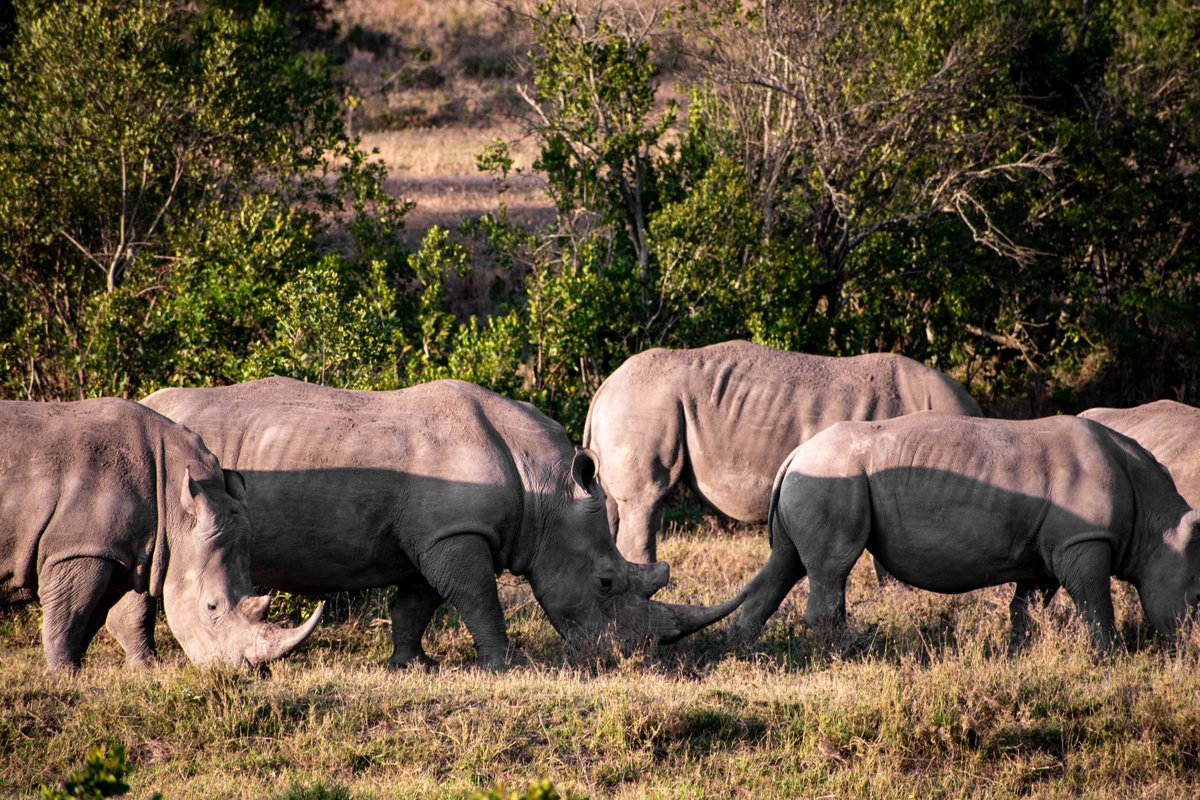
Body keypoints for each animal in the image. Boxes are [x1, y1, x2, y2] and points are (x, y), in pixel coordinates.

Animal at [0, 398, 322, 671]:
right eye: (211, 606)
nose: (251, 671)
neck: (173, 501)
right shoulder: (80, 548)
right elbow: (70, 613)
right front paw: (64, 674)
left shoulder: (121, 550)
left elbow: (102, 615)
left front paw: (141, 669)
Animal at [134, 377, 742, 668]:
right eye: (607, 583)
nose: (630, 655)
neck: (546, 490)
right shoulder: (456, 532)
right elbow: (477, 597)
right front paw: (503, 664)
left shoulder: (433, 535)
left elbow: (418, 602)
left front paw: (412, 664)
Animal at [729, 413, 1200, 651]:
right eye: (1196, 598)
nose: (1190, 647)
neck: (1155, 520)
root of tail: (795, 453)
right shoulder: (1082, 540)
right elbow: (1095, 601)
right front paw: (1111, 655)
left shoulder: (1045, 550)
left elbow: (1025, 607)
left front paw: (1018, 653)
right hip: (835, 473)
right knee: (832, 566)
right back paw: (848, 653)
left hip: (819, 474)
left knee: (786, 563)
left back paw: (743, 647)